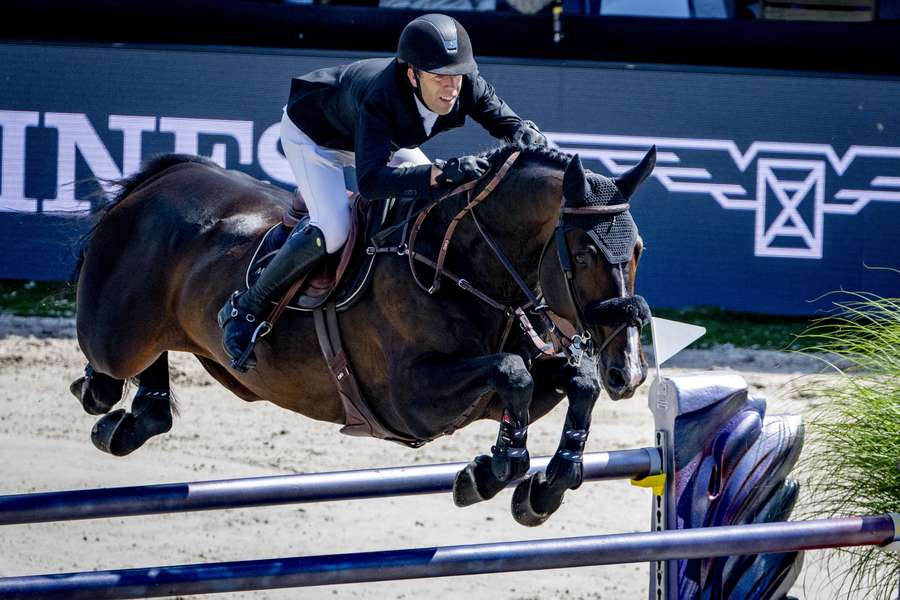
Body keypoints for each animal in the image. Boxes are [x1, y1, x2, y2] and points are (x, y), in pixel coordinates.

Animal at [70, 144, 652, 524]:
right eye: (583, 254)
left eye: (638, 249)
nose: (628, 372)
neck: (458, 264)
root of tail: (160, 181)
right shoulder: (412, 400)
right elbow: (512, 375)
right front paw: (492, 471)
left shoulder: (500, 387)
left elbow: (576, 384)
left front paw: (544, 487)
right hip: (116, 333)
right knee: (106, 365)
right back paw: (105, 397)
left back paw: (138, 417)